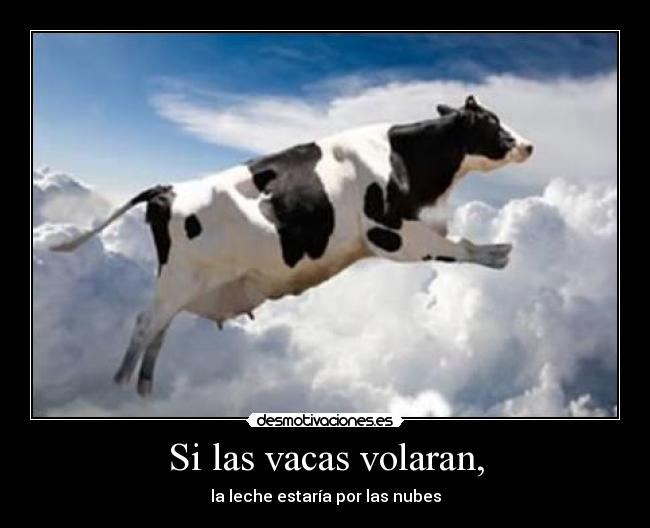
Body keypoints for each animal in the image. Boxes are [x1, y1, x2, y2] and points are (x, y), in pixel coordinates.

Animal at [50, 95, 533, 397]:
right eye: (491, 121)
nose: (528, 144)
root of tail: (166, 189)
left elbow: (453, 241)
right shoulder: (388, 234)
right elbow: (456, 246)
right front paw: (500, 253)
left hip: (182, 286)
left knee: (159, 329)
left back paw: (145, 390)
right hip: (176, 280)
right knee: (144, 325)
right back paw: (120, 387)